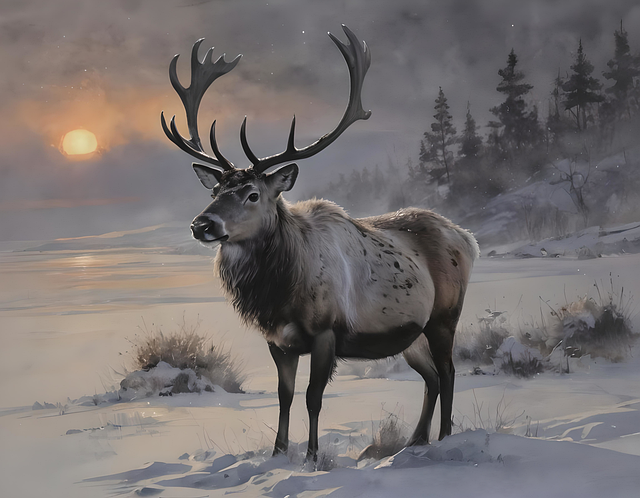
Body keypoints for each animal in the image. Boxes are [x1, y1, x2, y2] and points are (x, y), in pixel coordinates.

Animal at [161, 25, 479, 463]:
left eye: (253, 194)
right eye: (215, 191)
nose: (201, 224)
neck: (278, 292)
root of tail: (467, 238)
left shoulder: (326, 330)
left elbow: (313, 397)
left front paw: (311, 457)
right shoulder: (278, 339)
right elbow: (284, 396)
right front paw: (278, 454)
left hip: (444, 315)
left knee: (447, 372)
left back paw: (445, 437)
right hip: (410, 334)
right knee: (430, 376)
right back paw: (417, 440)